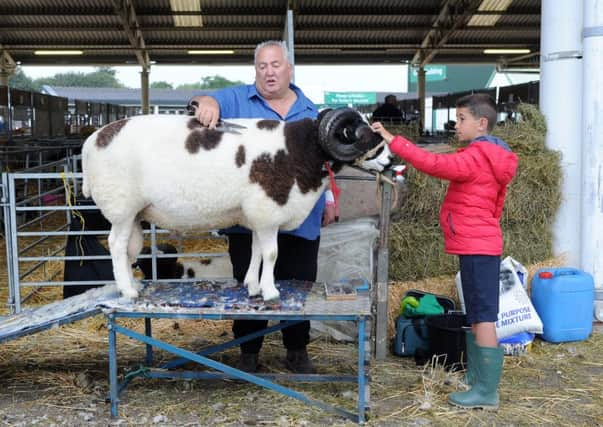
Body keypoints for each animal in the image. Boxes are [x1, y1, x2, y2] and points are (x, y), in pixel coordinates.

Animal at [81, 108, 392, 300]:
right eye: (358, 133)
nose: (390, 160)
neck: (300, 149)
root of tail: (91, 141)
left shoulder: (257, 216)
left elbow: (256, 252)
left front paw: (252, 286)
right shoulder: (268, 211)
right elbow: (272, 254)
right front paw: (270, 292)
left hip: (134, 214)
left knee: (129, 249)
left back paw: (132, 284)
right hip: (121, 209)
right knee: (116, 245)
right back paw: (128, 291)